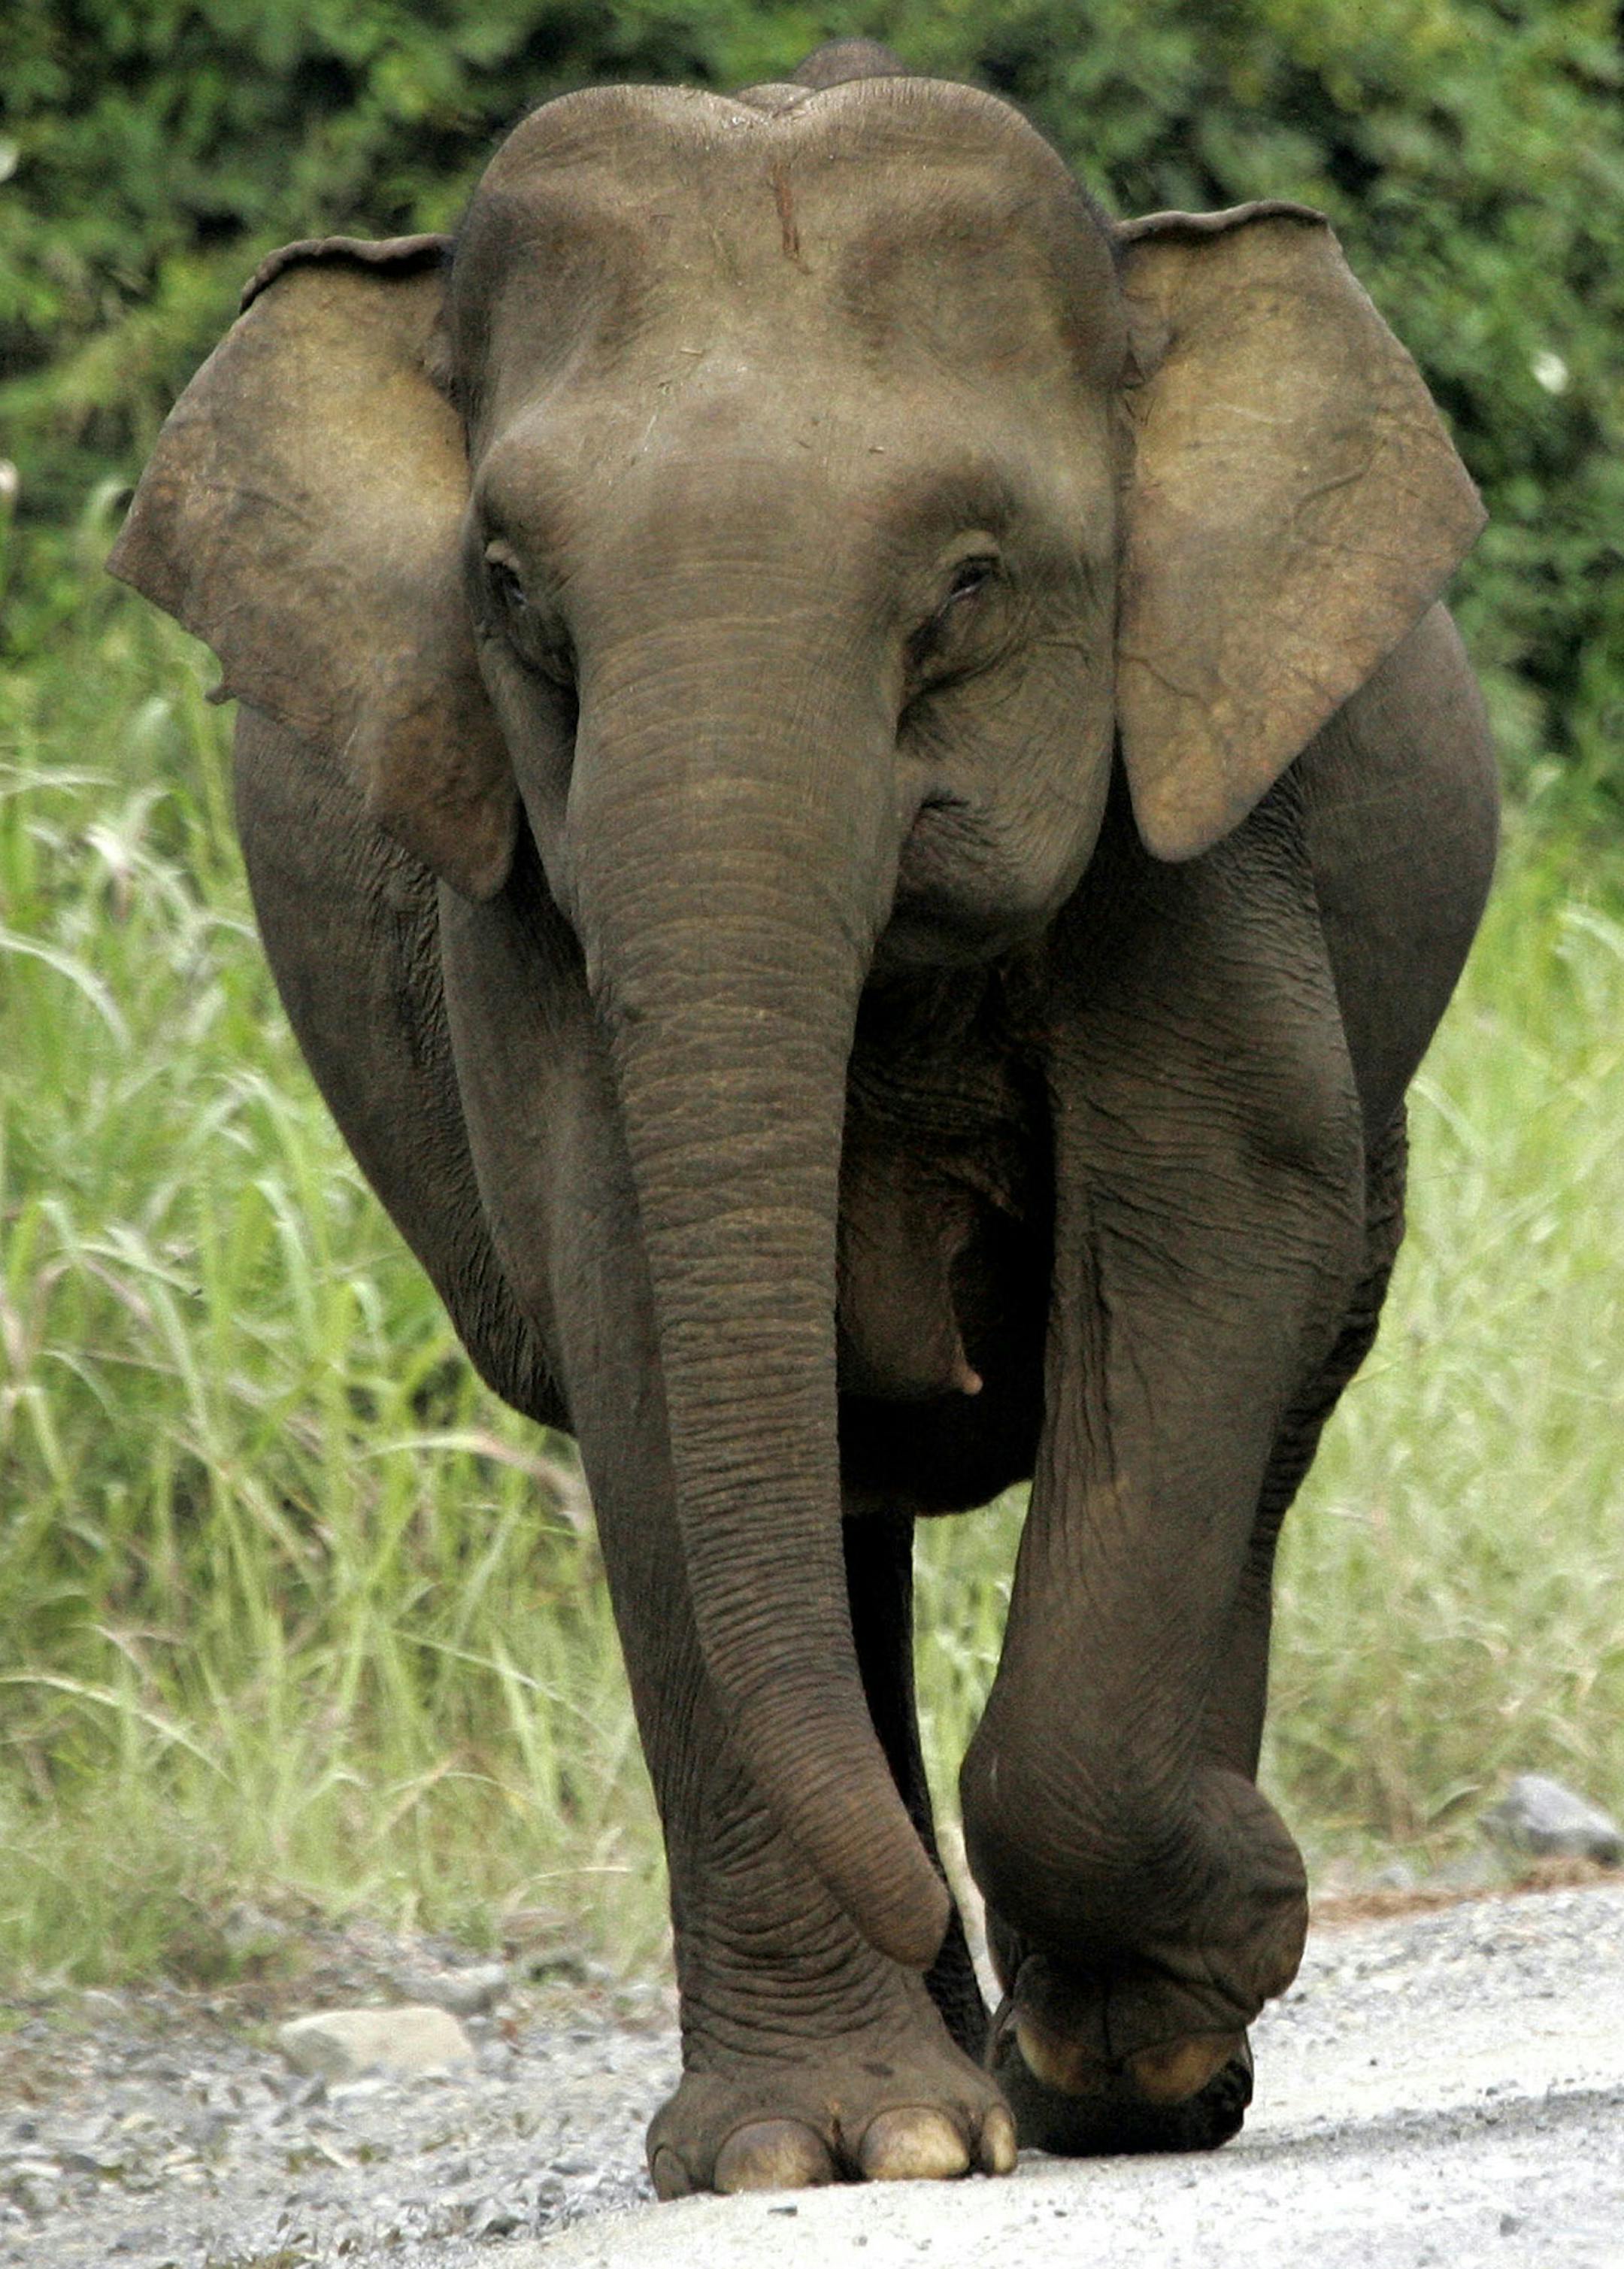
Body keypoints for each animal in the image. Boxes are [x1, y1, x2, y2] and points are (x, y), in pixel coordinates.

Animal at [111, 38, 1497, 2196]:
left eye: (975, 586)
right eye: (512, 596)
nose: (1279, 1893)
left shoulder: (1206, 817)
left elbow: (1209, 1227)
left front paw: (1179, 1983)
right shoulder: (523, 891)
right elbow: (632, 1307)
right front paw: (826, 2148)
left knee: (1277, 1373)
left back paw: (1120, 2068)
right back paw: (955, 2086)